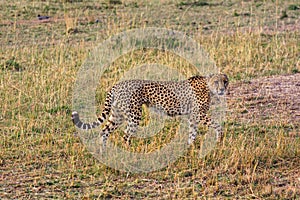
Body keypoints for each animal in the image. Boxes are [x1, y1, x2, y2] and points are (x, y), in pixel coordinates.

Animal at [71, 74, 229, 149]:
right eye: (217, 82)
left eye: (225, 81)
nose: (222, 89)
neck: (208, 86)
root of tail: (117, 85)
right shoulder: (200, 115)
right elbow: (217, 125)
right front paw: (220, 138)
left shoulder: (193, 117)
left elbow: (192, 133)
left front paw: (189, 148)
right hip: (134, 115)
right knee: (126, 136)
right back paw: (132, 155)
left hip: (118, 115)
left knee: (104, 131)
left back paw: (103, 152)